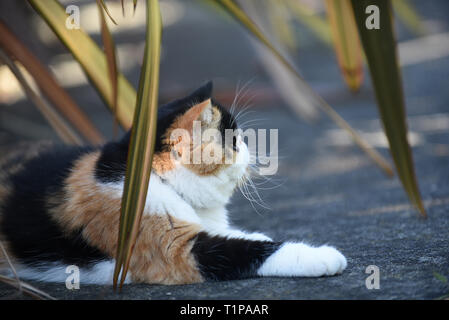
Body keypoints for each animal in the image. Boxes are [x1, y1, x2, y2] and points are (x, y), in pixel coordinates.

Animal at [0, 81, 346, 284]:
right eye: (234, 140)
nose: (250, 149)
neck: (160, 181)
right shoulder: (176, 251)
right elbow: (251, 251)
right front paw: (323, 257)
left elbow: (241, 236)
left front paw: (254, 233)